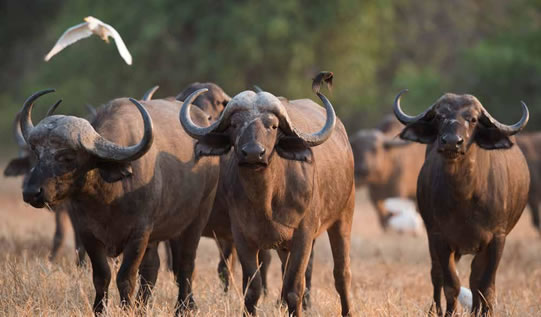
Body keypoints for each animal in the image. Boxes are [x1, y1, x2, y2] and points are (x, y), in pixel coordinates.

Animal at [18, 89, 219, 314]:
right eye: (37, 154)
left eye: (67, 156)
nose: (31, 192)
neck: (108, 199)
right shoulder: (87, 232)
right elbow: (101, 275)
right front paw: (99, 310)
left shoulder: (139, 233)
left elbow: (126, 277)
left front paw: (126, 309)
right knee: (152, 268)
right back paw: (143, 307)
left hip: (196, 219)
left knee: (185, 265)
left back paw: (184, 307)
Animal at [178, 72, 354, 316]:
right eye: (235, 124)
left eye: (272, 126)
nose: (253, 153)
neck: (267, 199)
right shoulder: (242, 236)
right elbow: (252, 288)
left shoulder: (304, 235)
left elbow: (294, 288)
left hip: (344, 215)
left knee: (341, 273)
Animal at [392, 90, 528, 314]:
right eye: (439, 116)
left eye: (472, 119)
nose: (451, 142)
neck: (464, 197)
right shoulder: (439, 237)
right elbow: (451, 285)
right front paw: (448, 312)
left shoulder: (497, 238)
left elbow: (486, 286)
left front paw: (485, 312)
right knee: (437, 274)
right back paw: (435, 310)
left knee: (475, 279)